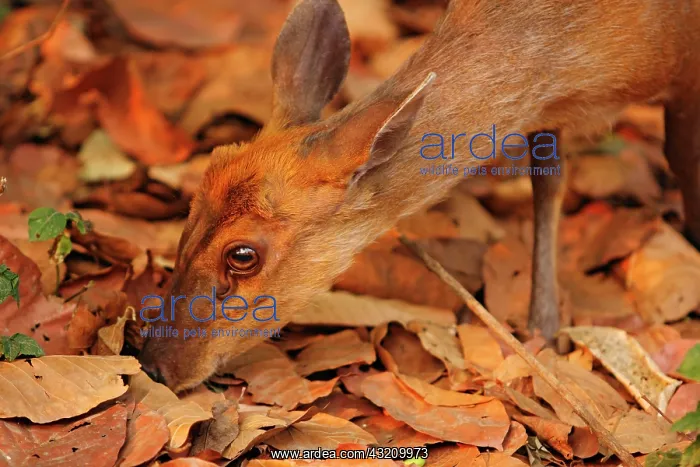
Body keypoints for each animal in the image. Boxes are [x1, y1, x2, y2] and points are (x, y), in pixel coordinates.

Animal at [138, 0, 700, 392]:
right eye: (189, 210)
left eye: (243, 254)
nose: (154, 365)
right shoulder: (549, 112)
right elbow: (547, 179)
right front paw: (543, 329)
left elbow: (682, 160)